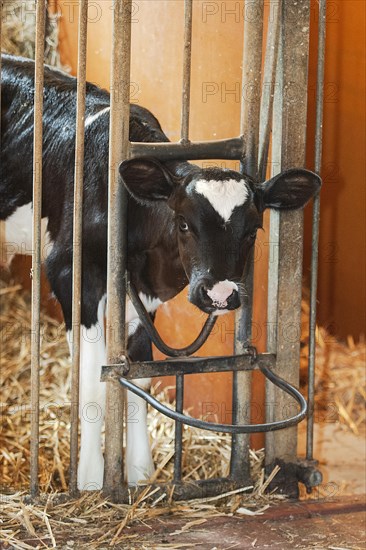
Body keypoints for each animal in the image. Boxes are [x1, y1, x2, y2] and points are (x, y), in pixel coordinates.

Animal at [0, 55, 320, 492]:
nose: (220, 294)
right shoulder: (71, 275)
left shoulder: (143, 296)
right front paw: (91, 482)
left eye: (253, 229)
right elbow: (92, 385)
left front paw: (139, 474)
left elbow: (141, 379)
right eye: (183, 223)